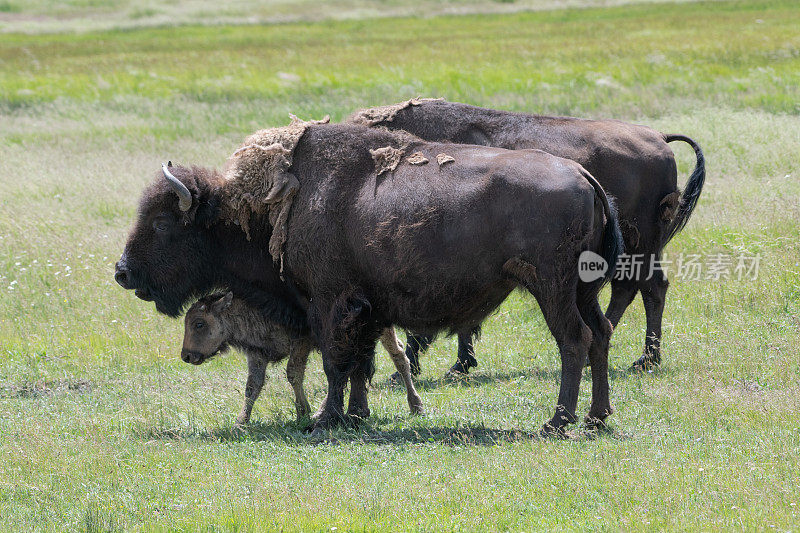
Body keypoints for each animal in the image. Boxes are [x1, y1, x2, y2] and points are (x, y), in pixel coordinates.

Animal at [182, 290, 424, 424]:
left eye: (199, 323)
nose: (186, 355)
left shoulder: (302, 341)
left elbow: (293, 373)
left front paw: (302, 413)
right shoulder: (257, 353)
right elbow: (252, 386)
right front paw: (241, 422)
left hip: (380, 330)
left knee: (399, 357)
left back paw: (416, 406)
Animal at [352, 101, 708, 374]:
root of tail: (659, 137)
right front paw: (460, 364)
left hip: (642, 244)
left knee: (650, 288)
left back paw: (645, 360)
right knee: (631, 289)